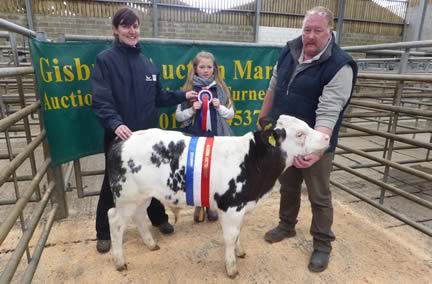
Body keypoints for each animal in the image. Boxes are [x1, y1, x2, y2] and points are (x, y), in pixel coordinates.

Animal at [106, 115, 330, 278]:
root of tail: (124, 138)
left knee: (139, 217)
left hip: (141, 196)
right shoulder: (231, 206)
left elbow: (239, 233)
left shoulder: (241, 206)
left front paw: (240, 252)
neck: (252, 161)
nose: (327, 137)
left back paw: (151, 244)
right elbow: (230, 237)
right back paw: (119, 262)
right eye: (300, 134)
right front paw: (231, 268)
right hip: (126, 197)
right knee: (115, 221)